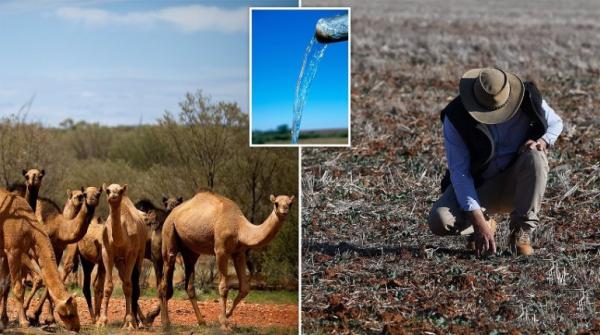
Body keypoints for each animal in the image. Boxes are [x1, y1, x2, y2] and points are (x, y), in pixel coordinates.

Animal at [0, 190, 81, 332]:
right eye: (69, 313)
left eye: (76, 309)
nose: (77, 327)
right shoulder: (12, 251)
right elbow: (18, 288)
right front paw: (24, 322)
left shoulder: (10, 252)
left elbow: (3, 285)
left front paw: (3, 322)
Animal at [97, 182, 148, 330]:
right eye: (107, 190)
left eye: (120, 191)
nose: (113, 197)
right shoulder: (107, 252)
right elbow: (108, 286)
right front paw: (102, 321)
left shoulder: (132, 253)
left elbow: (128, 286)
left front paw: (130, 322)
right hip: (120, 262)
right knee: (126, 279)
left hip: (140, 255)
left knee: (133, 283)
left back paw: (140, 322)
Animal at [157, 192, 292, 328]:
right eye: (276, 203)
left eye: (290, 203)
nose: (284, 211)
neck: (239, 227)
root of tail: (171, 214)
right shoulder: (221, 251)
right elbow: (223, 287)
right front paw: (224, 322)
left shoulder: (239, 252)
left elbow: (244, 288)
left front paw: (224, 316)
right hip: (169, 232)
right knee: (165, 277)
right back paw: (166, 322)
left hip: (190, 251)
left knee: (189, 285)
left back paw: (201, 322)